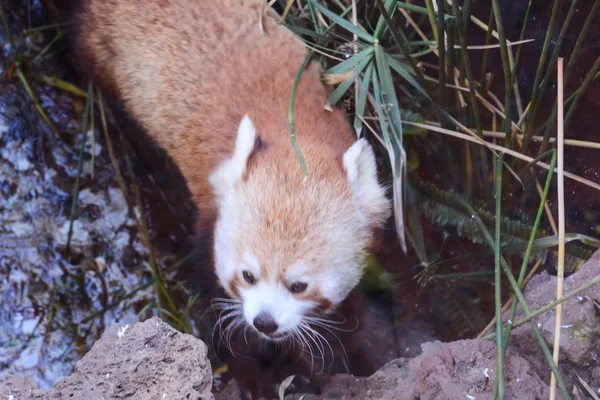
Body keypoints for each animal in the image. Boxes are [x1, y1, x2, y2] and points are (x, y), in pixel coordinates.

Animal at [72, 0, 392, 396]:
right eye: (248, 275)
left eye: (299, 286)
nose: (265, 322)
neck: (296, 139)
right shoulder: (209, 227)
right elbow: (220, 323)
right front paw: (255, 377)